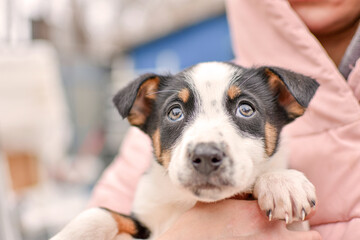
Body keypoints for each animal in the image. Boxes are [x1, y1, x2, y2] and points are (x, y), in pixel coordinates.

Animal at [50, 62, 318, 240]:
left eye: (246, 109)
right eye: (175, 112)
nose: (206, 156)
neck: (188, 201)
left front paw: (281, 182)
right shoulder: (145, 221)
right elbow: (101, 213)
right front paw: (70, 234)